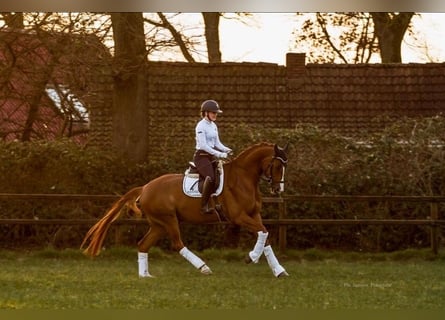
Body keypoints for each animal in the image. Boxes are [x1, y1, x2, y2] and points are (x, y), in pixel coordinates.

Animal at [80, 142, 288, 278]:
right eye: (278, 165)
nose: (278, 189)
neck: (243, 178)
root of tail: (145, 187)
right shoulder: (239, 217)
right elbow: (263, 232)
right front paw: (251, 257)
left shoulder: (254, 215)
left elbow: (266, 236)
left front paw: (278, 271)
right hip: (169, 220)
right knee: (177, 244)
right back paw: (203, 267)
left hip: (159, 225)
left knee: (143, 244)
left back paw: (145, 276)